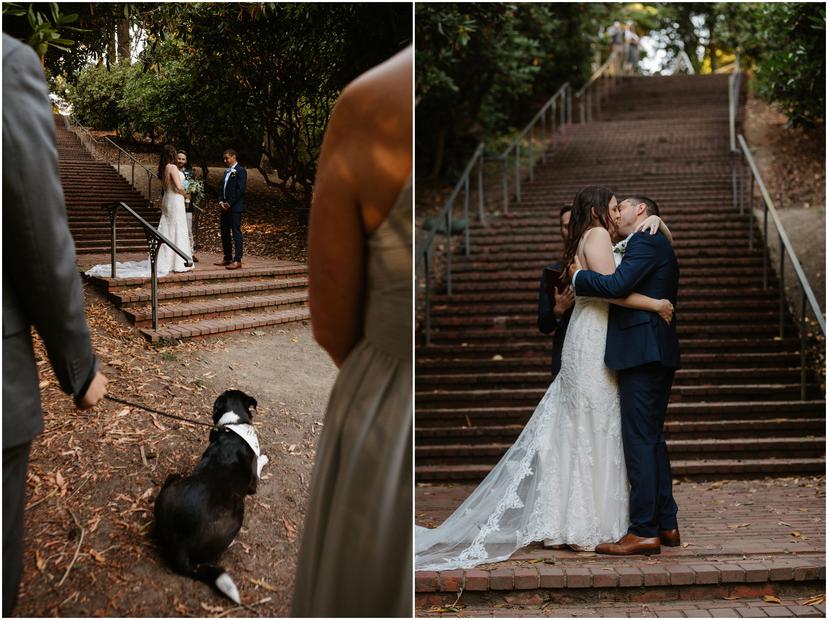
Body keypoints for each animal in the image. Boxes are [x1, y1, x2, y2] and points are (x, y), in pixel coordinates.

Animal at [155, 390, 268, 604]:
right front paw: (264, 458)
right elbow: (259, 464)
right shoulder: (253, 485)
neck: (234, 426)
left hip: (174, 480)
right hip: (238, 514)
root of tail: (181, 543)